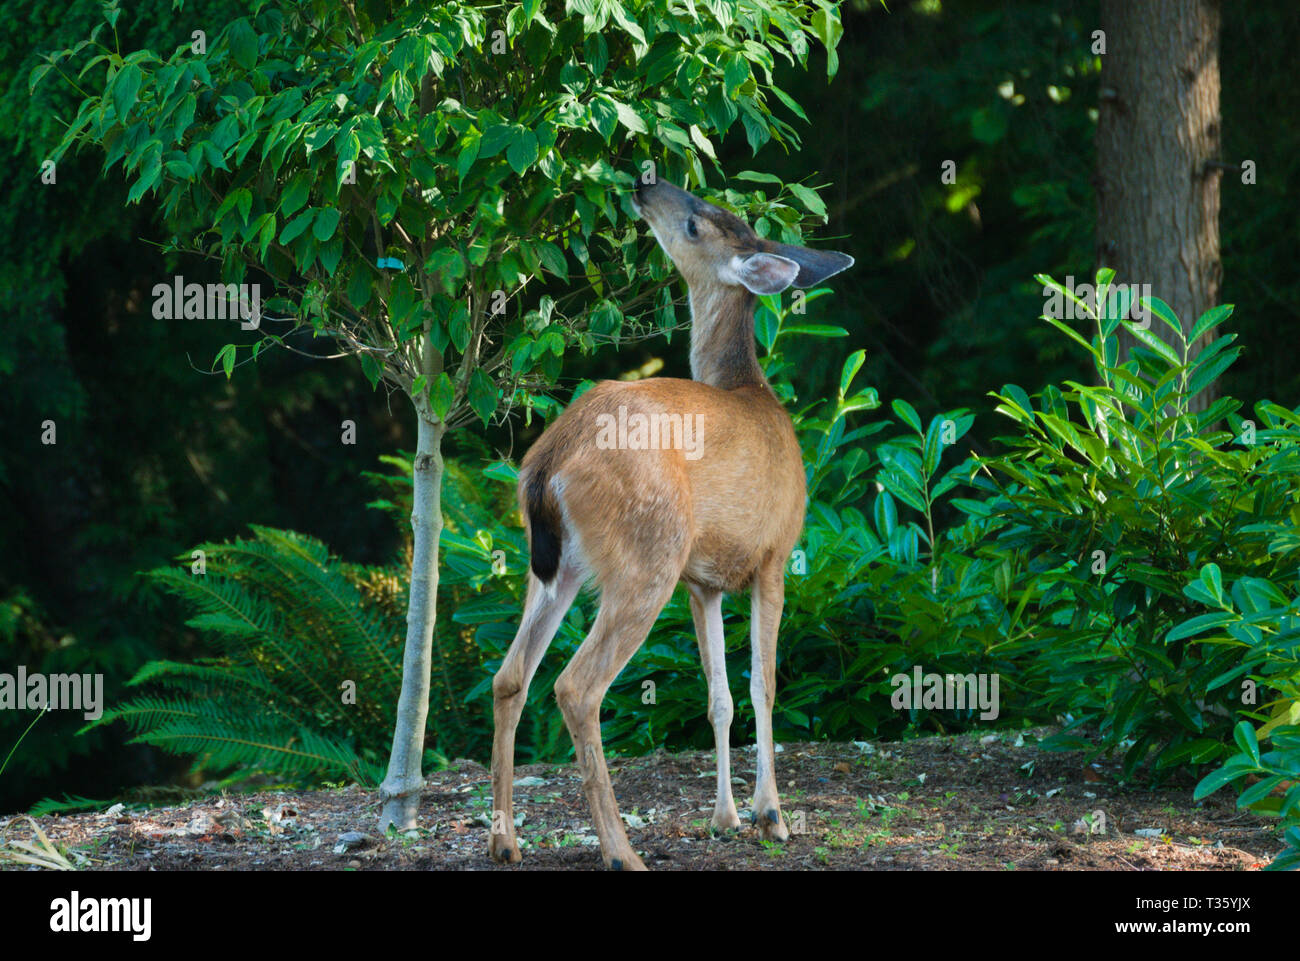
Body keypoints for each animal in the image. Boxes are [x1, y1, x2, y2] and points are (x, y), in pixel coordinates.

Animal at [487, 178, 854, 870]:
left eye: (694, 223)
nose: (643, 182)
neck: (752, 390)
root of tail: (550, 457)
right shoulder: (775, 552)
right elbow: (764, 685)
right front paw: (771, 816)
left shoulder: (703, 581)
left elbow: (721, 697)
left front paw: (726, 818)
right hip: (647, 552)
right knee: (576, 688)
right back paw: (620, 852)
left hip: (556, 566)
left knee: (509, 676)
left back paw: (504, 841)